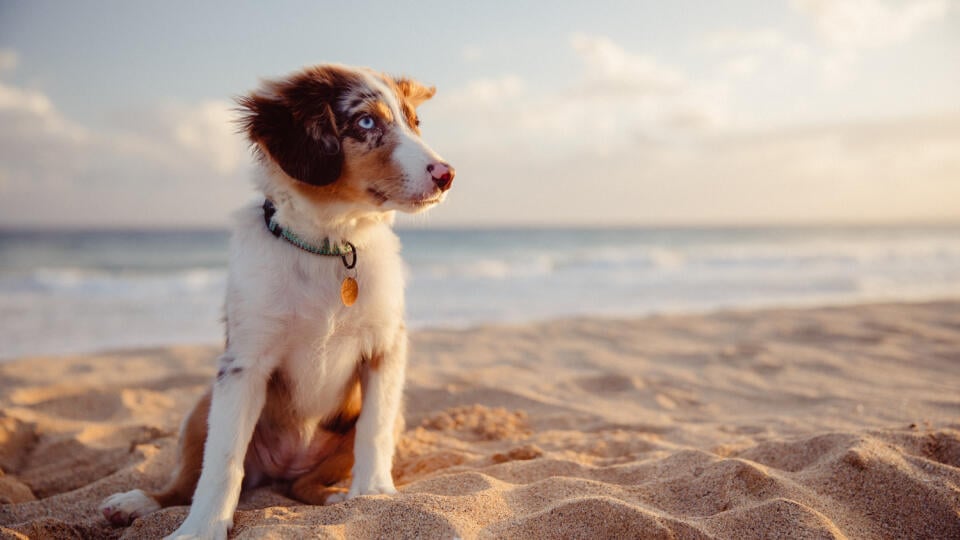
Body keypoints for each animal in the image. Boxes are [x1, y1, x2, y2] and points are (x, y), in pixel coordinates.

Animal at [97, 64, 454, 540]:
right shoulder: (245, 362)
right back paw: (136, 502)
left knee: (306, 484)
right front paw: (202, 527)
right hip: (201, 408)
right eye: (366, 122)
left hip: (385, 422)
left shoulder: (385, 347)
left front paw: (375, 494)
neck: (330, 246)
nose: (447, 175)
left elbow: (373, 429)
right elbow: (222, 461)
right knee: (185, 483)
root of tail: (284, 467)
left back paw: (338, 497)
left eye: (415, 122)